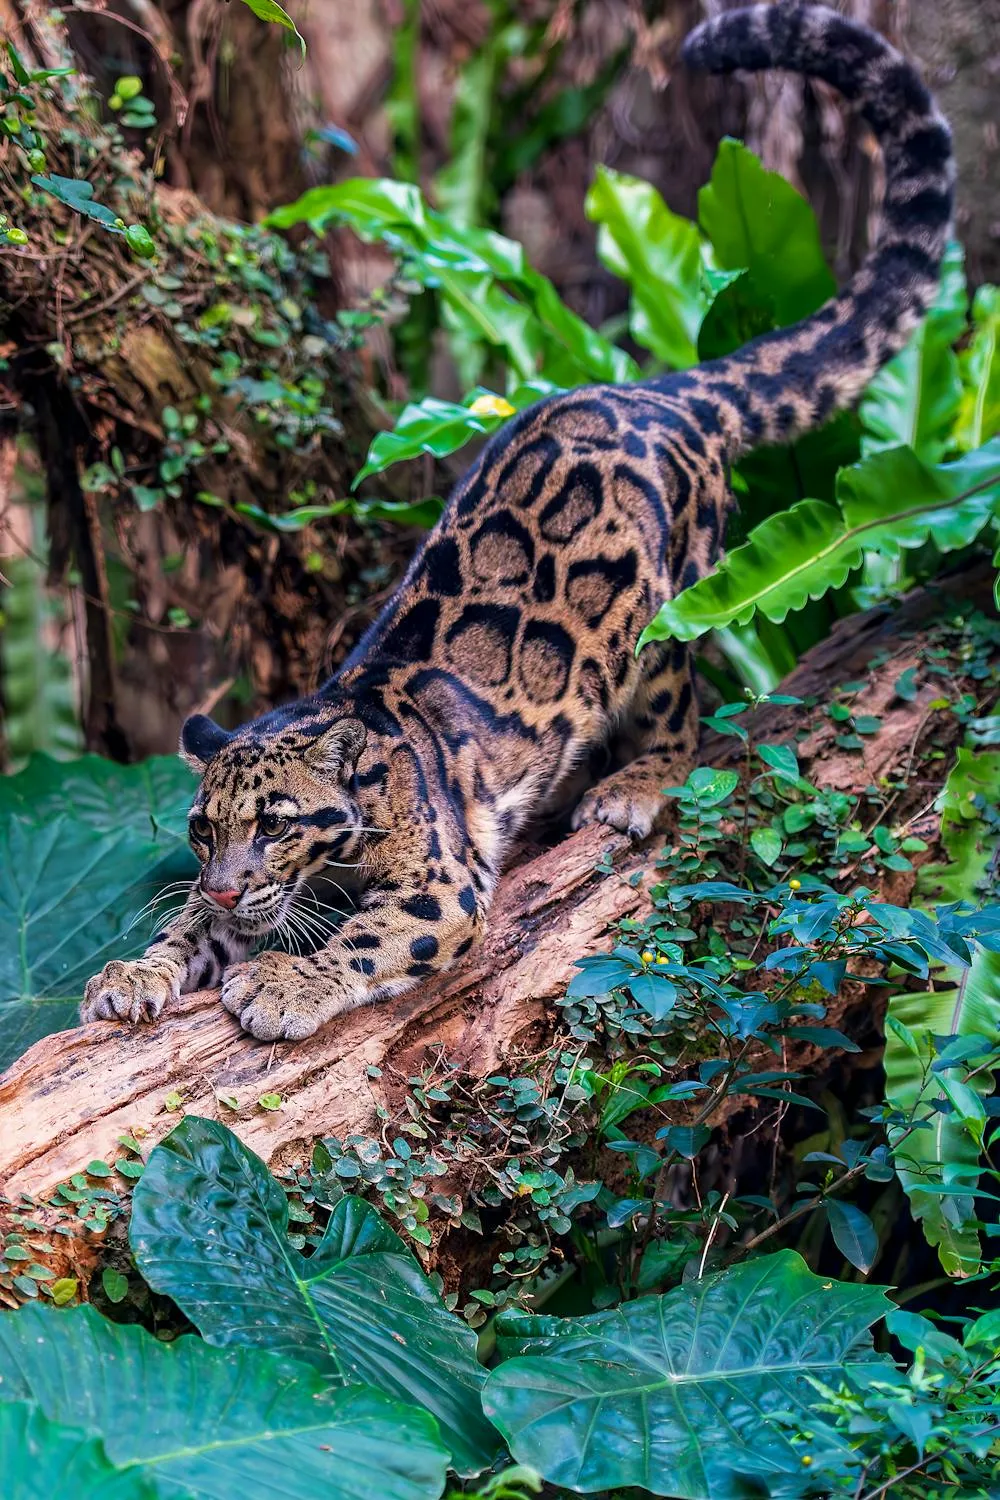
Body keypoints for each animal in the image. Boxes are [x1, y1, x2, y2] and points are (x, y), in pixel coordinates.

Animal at [82, 3, 954, 1044]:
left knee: (683, 716)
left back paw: (628, 790)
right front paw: (136, 969)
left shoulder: (441, 886)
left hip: (662, 627)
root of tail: (654, 389)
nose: (220, 885)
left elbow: (359, 940)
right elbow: (187, 932)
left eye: (275, 825)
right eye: (201, 828)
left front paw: (284, 983)